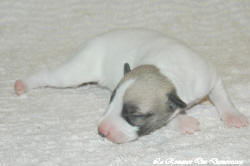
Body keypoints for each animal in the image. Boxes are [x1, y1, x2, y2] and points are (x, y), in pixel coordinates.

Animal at [15, 28, 248, 144]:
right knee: (50, 76)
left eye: (136, 115)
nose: (102, 131)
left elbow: (222, 96)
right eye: (111, 102)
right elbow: (171, 116)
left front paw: (233, 115)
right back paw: (24, 83)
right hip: (76, 71)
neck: (168, 73)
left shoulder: (210, 76)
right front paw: (183, 121)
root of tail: (94, 40)